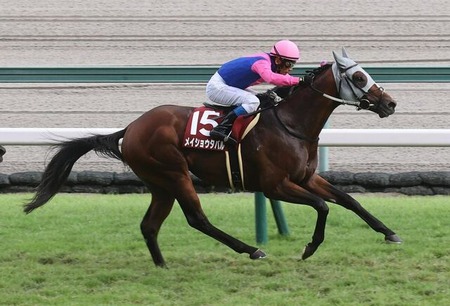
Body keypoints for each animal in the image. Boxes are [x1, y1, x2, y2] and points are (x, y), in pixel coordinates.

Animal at [24, 48, 402, 268]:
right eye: (358, 76)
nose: (390, 103)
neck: (292, 124)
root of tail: (130, 128)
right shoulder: (276, 186)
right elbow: (323, 207)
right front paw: (310, 248)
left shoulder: (307, 177)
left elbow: (349, 200)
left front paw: (389, 233)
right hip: (174, 173)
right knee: (197, 219)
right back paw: (251, 250)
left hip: (160, 183)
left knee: (150, 225)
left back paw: (162, 266)